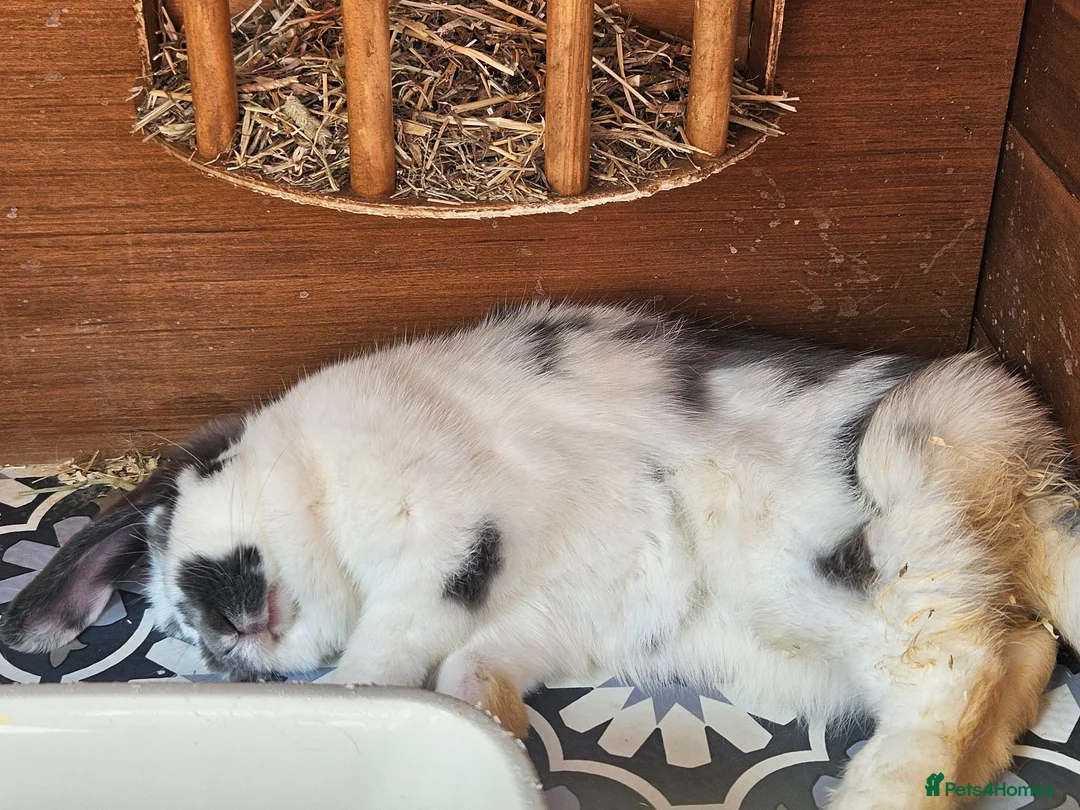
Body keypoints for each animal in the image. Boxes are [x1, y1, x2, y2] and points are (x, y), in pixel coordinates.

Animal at [3, 300, 1079, 810]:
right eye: (175, 628)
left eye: (210, 475)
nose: (222, 630)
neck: (322, 484)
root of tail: (1017, 464)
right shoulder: (560, 612)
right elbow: (476, 663)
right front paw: (497, 718)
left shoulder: (444, 543)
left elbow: (391, 654)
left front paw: (344, 701)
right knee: (1019, 654)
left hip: (897, 522)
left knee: (960, 667)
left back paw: (878, 793)